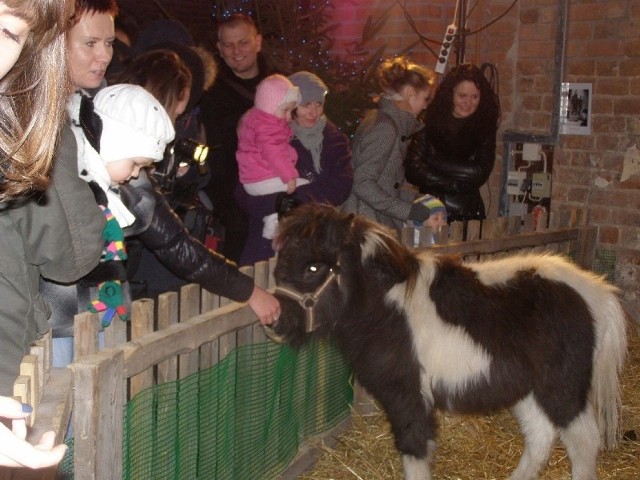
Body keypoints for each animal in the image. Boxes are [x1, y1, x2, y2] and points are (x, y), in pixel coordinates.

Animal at [268, 204, 624, 480]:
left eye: (314, 267)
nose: (275, 322)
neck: (388, 307)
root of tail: (597, 292)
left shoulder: (409, 393)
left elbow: (415, 449)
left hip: (562, 387)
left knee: (583, 441)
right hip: (529, 390)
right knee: (541, 437)